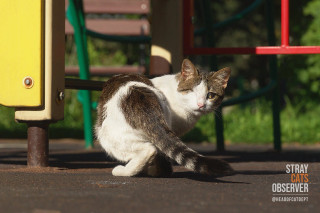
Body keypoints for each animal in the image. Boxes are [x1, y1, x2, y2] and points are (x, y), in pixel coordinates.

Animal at [95, 59, 232, 177]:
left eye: (211, 95)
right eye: (192, 91)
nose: (201, 105)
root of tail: (139, 97)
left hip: (108, 137)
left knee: (148, 150)